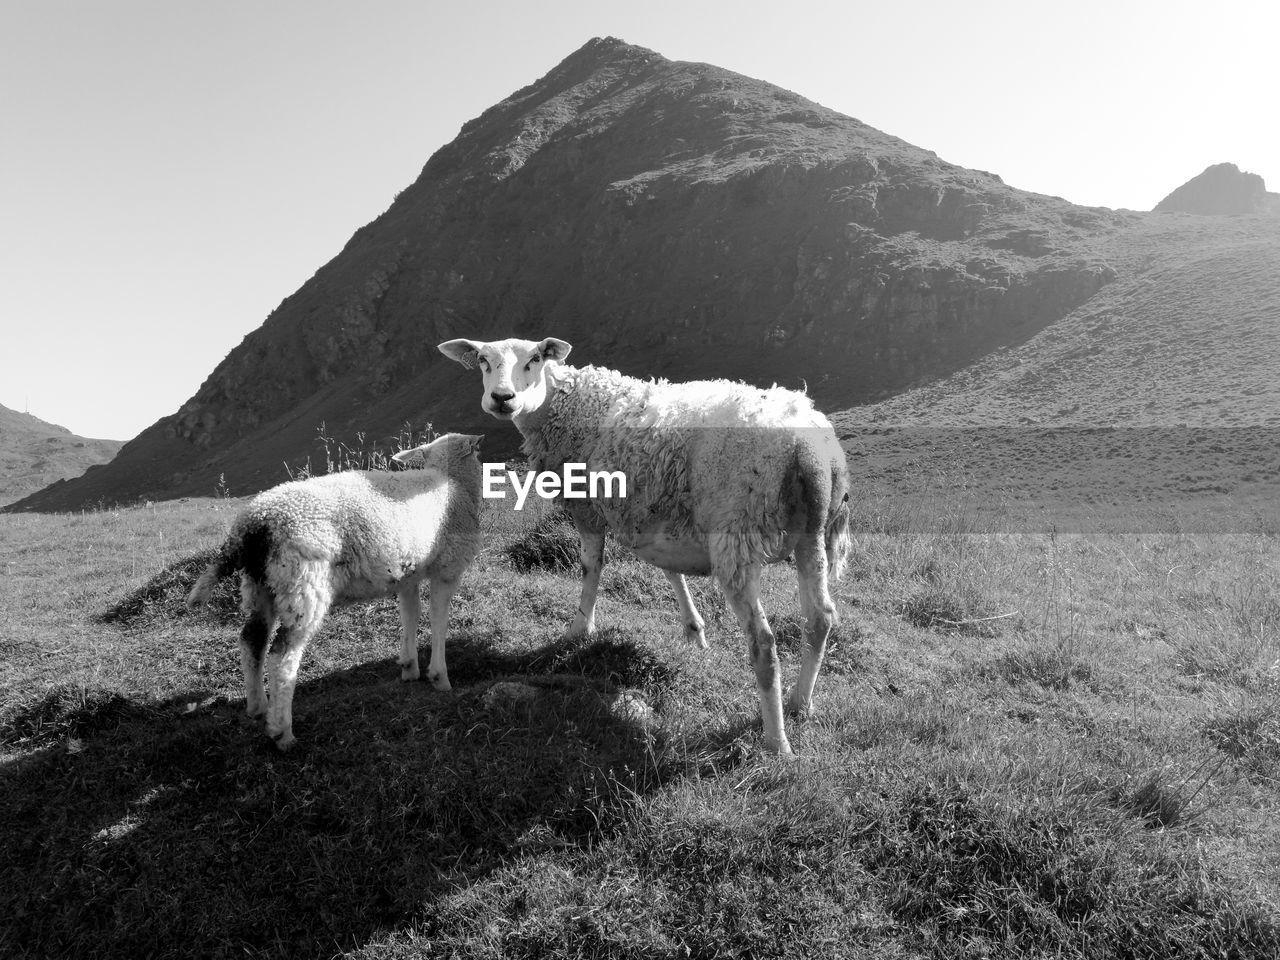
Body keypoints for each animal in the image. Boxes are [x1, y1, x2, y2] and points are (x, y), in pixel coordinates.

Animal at [180, 435, 481, 752]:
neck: (451, 481)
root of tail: (252, 525)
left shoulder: (407, 573)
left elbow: (410, 615)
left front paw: (410, 667)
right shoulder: (448, 567)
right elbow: (438, 620)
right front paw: (440, 677)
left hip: (259, 586)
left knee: (252, 641)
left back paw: (258, 705)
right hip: (302, 585)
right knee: (281, 657)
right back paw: (282, 731)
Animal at [437, 335, 849, 757]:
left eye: (534, 359)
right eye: (483, 361)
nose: (502, 398)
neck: (565, 405)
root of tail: (808, 448)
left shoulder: (587, 505)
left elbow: (591, 565)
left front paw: (580, 628)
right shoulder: (653, 510)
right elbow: (671, 571)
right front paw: (693, 631)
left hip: (737, 536)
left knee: (763, 643)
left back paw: (776, 740)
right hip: (810, 535)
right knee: (821, 619)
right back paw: (800, 702)